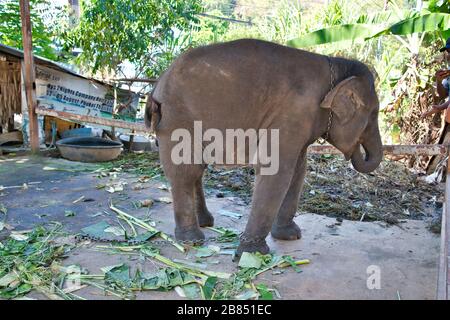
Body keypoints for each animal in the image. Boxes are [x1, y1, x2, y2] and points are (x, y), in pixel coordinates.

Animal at [145, 38, 384, 255]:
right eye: (373, 114)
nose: (357, 151)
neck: (337, 68)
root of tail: (157, 84)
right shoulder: (294, 112)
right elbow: (276, 169)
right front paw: (253, 253)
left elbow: (298, 170)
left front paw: (290, 236)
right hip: (178, 119)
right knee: (186, 171)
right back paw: (191, 240)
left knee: (196, 169)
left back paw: (205, 223)